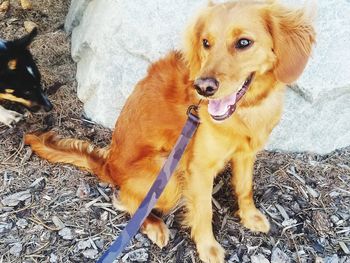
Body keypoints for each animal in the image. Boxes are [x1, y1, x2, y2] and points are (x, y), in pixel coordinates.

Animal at [23, 1, 314, 262]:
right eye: (206, 43)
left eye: (244, 42)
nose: (203, 88)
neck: (246, 110)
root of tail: (109, 166)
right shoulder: (199, 168)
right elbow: (204, 210)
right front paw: (208, 248)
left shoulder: (246, 153)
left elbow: (245, 187)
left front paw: (250, 216)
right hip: (170, 175)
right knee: (126, 200)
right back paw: (154, 225)